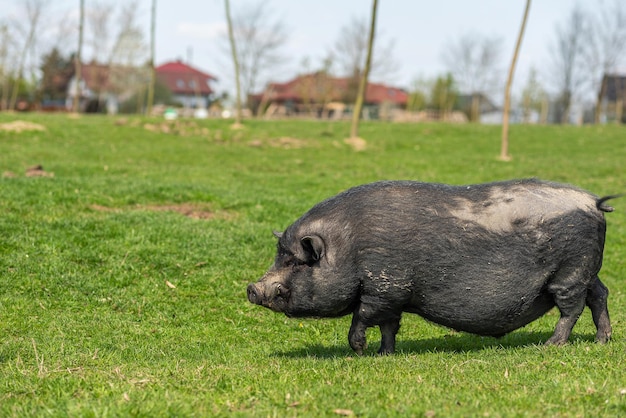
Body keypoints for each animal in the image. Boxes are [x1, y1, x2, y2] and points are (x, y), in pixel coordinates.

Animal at [246, 178, 616, 354]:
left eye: (296, 262)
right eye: (279, 256)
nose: (252, 288)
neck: (349, 248)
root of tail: (592, 201)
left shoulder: (385, 286)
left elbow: (363, 316)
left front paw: (359, 350)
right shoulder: (392, 295)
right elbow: (389, 326)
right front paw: (384, 354)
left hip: (570, 272)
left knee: (572, 308)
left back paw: (552, 345)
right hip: (588, 271)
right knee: (601, 294)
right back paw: (603, 341)